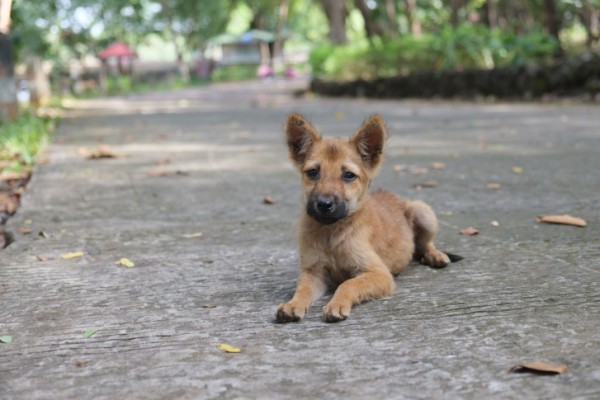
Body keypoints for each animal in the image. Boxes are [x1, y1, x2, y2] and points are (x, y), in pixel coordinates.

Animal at [276, 111, 460, 322]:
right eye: (313, 172)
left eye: (348, 175)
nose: (324, 204)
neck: (332, 232)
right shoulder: (313, 272)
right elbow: (302, 289)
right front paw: (293, 304)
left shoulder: (378, 273)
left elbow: (348, 284)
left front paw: (337, 303)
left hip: (423, 212)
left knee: (425, 244)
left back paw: (435, 255)